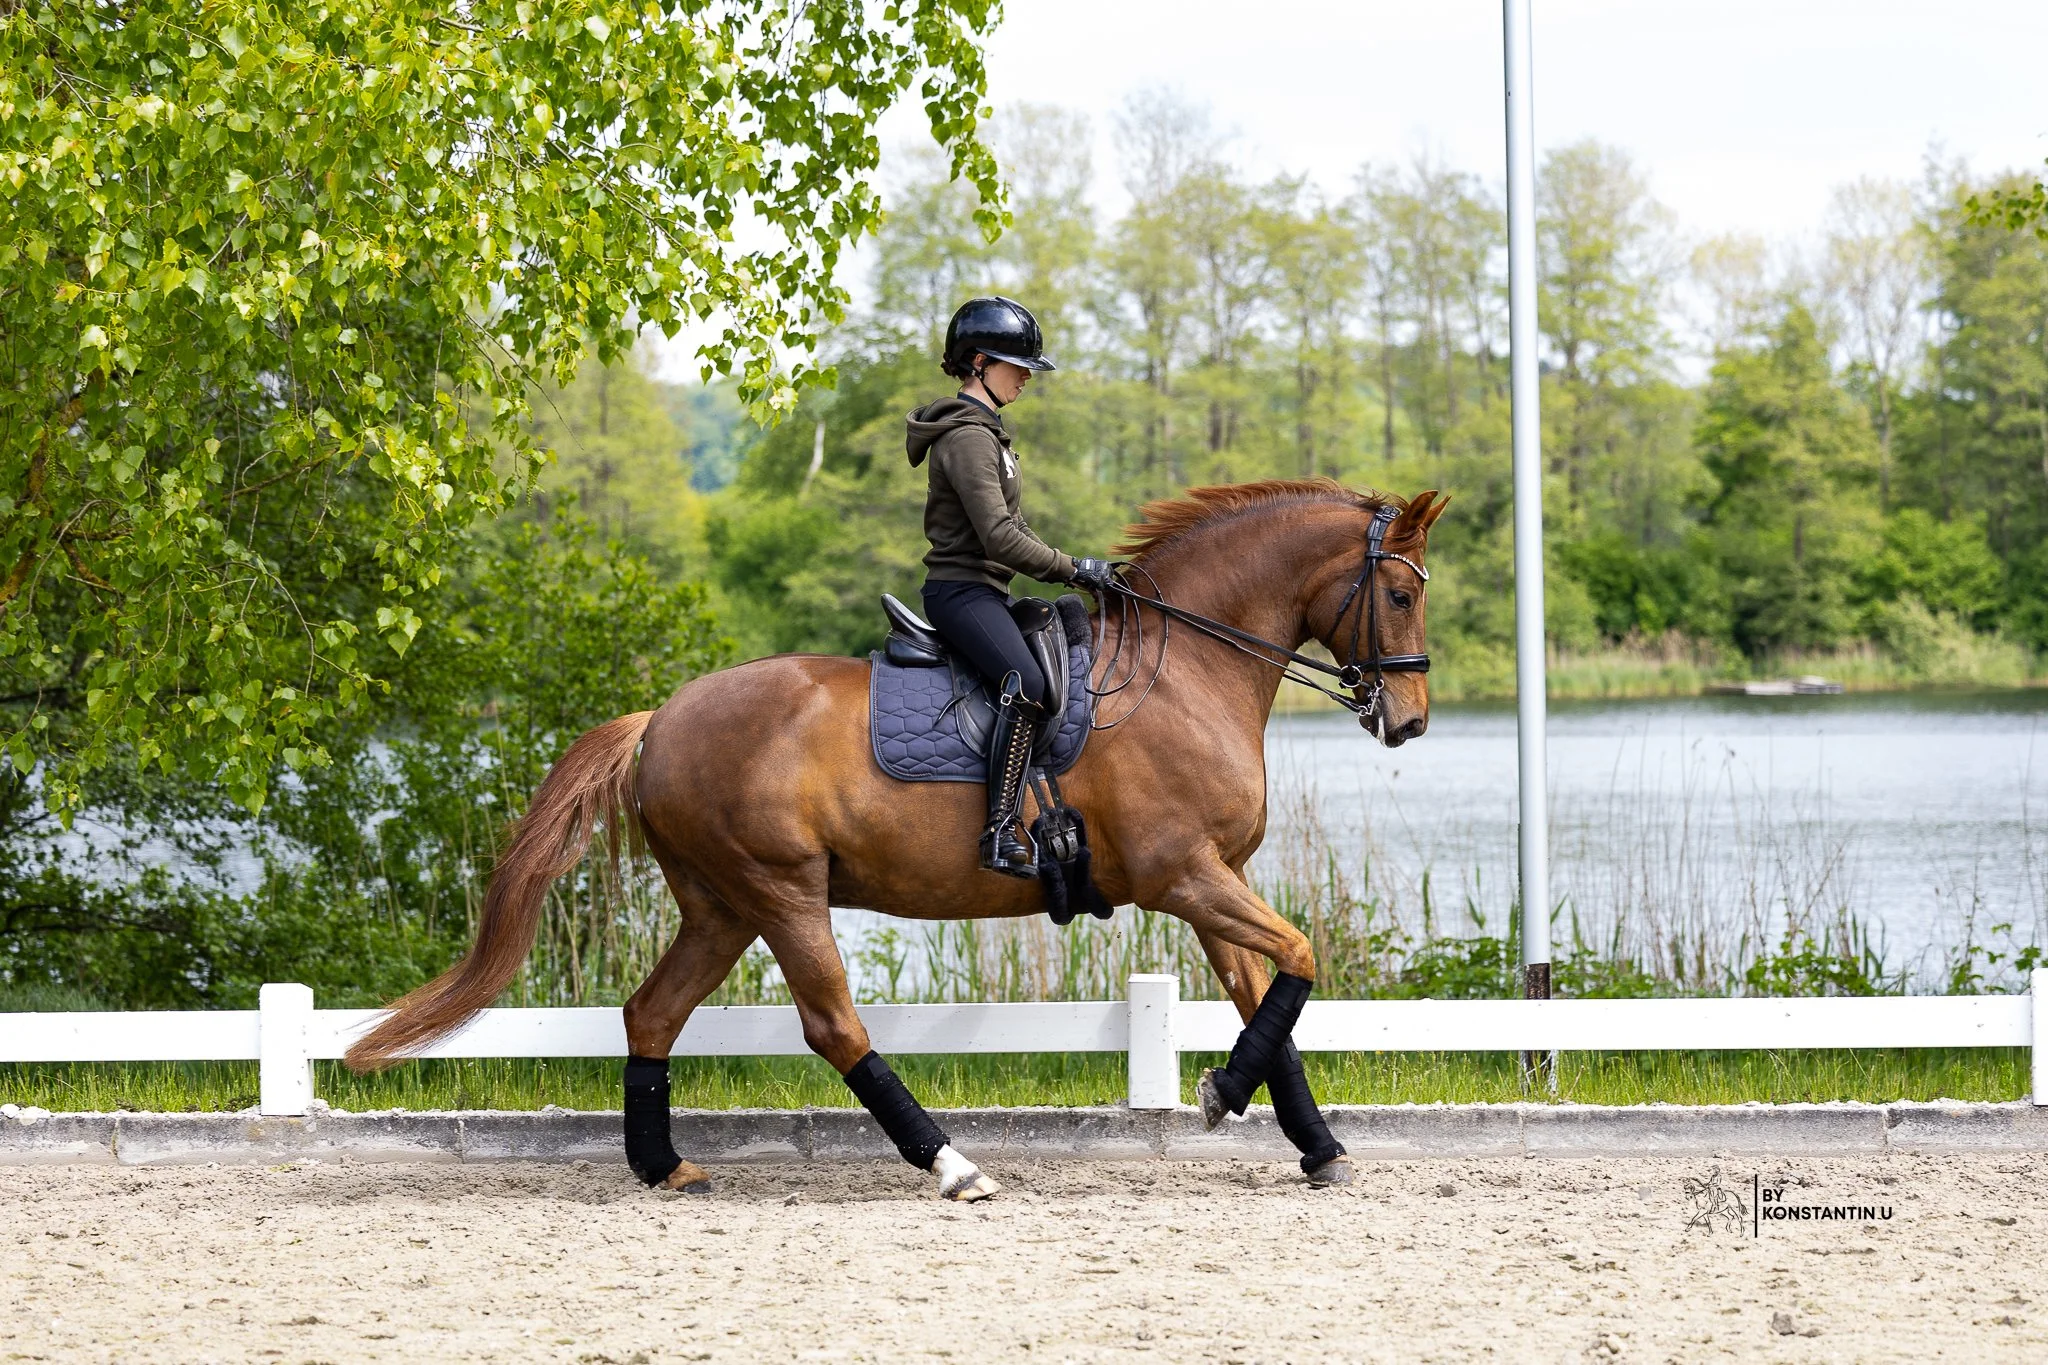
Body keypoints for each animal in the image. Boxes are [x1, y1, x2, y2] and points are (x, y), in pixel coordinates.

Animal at [344, 478, 1447, 1199]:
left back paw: (661, 1166)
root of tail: (661, 718)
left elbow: (1274, 999)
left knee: (650, 1013)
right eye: (1399, 592)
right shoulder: (1182, 875)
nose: (1408, 721)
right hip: (783, 892)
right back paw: (950, 1164)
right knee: (834, 1027)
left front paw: (1312, 1143)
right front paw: (1222, 1092)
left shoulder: (1213, 880)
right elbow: (1302, 958)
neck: (1186, 671)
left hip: (721, 906)